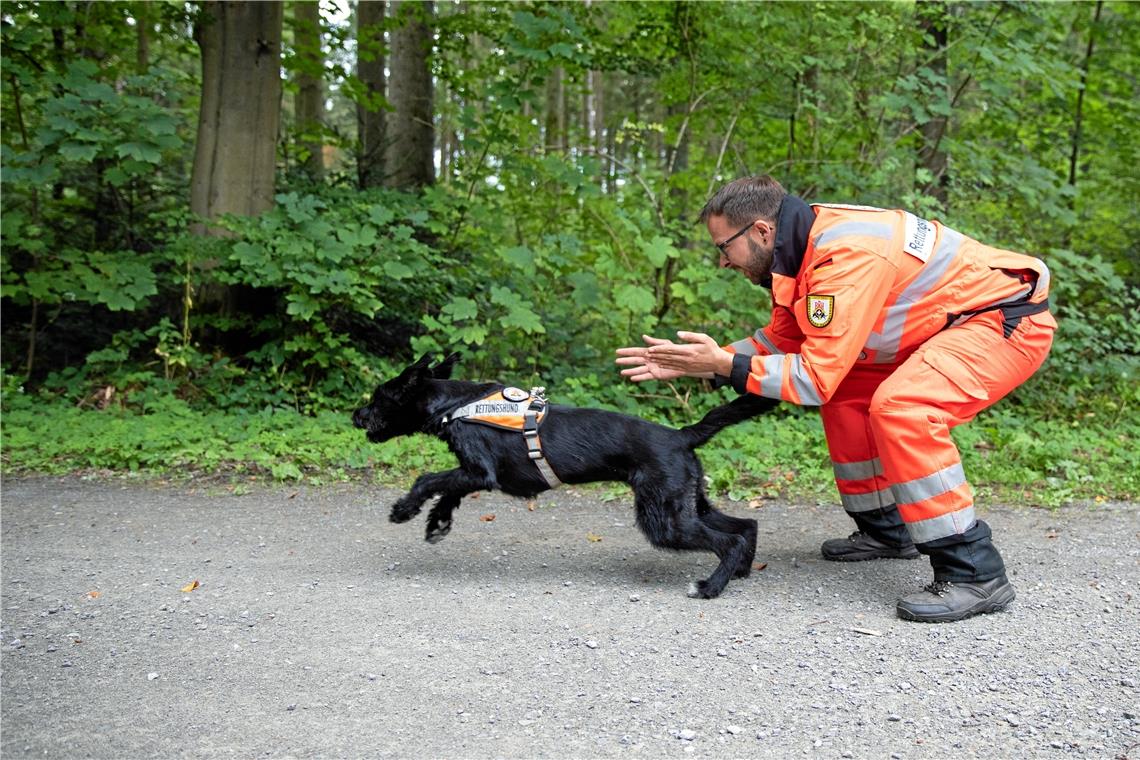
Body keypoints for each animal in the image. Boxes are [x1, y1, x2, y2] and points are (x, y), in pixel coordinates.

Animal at [353, 353, 784, 597]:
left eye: (377, 398)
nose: (355, 415)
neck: (455, 404)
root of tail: (681, 435)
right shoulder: (471, 474)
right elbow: (448, 491)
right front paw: (437, 522)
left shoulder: (480, 470)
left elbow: (429, 479)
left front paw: (404, 509)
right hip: (688, 501)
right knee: (746, 526)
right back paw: (740, 572)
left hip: (664, 518)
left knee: (727, 540)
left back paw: (710, 588)